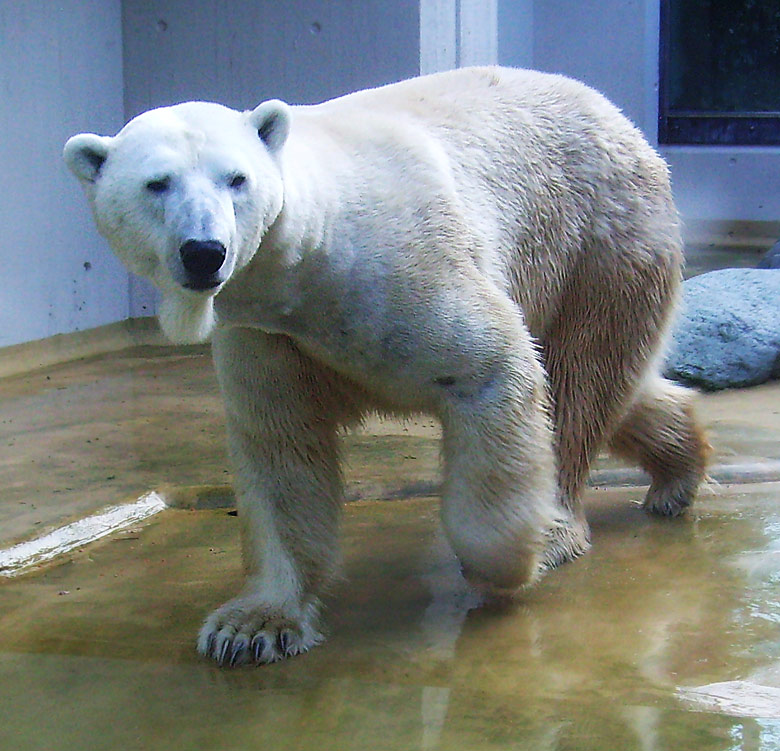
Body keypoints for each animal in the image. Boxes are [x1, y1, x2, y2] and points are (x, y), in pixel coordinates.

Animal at [64, 67, 708, 668]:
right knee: (615, 390)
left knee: (579, 386)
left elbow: (495, 369)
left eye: (236, 178)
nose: (204, 251)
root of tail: (622, 124)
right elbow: (280, 449)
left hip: (595, 244)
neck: (309, 263)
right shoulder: (269, 336)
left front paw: (507, 563)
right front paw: (250, 626)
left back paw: (558, 530)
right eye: (157, 184)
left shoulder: (404, 275)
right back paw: (677, 473)